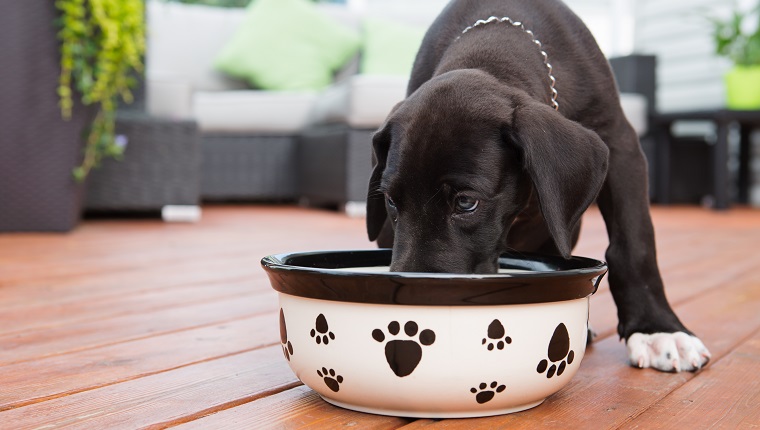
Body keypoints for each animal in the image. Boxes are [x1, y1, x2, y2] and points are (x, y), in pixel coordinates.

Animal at [366, 0, 708, 372]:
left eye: (466, 203)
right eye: (392, 202)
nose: (408, 311)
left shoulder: (620, 144)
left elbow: (634, 242)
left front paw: (657, 328)